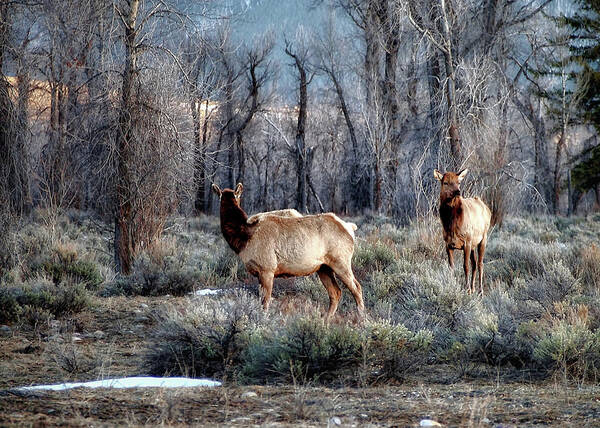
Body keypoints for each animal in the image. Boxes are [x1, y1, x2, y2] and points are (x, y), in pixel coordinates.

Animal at [213, 182, 368, 320]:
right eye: (221, 197)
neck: (243, 239)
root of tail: (350, 228)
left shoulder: (267, 269)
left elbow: (265, 303)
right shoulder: (259, 273)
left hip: (341, 261)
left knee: (357, 288)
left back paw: (361, 318)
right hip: (324, 267)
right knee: (336, 292)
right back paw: (325, 321)